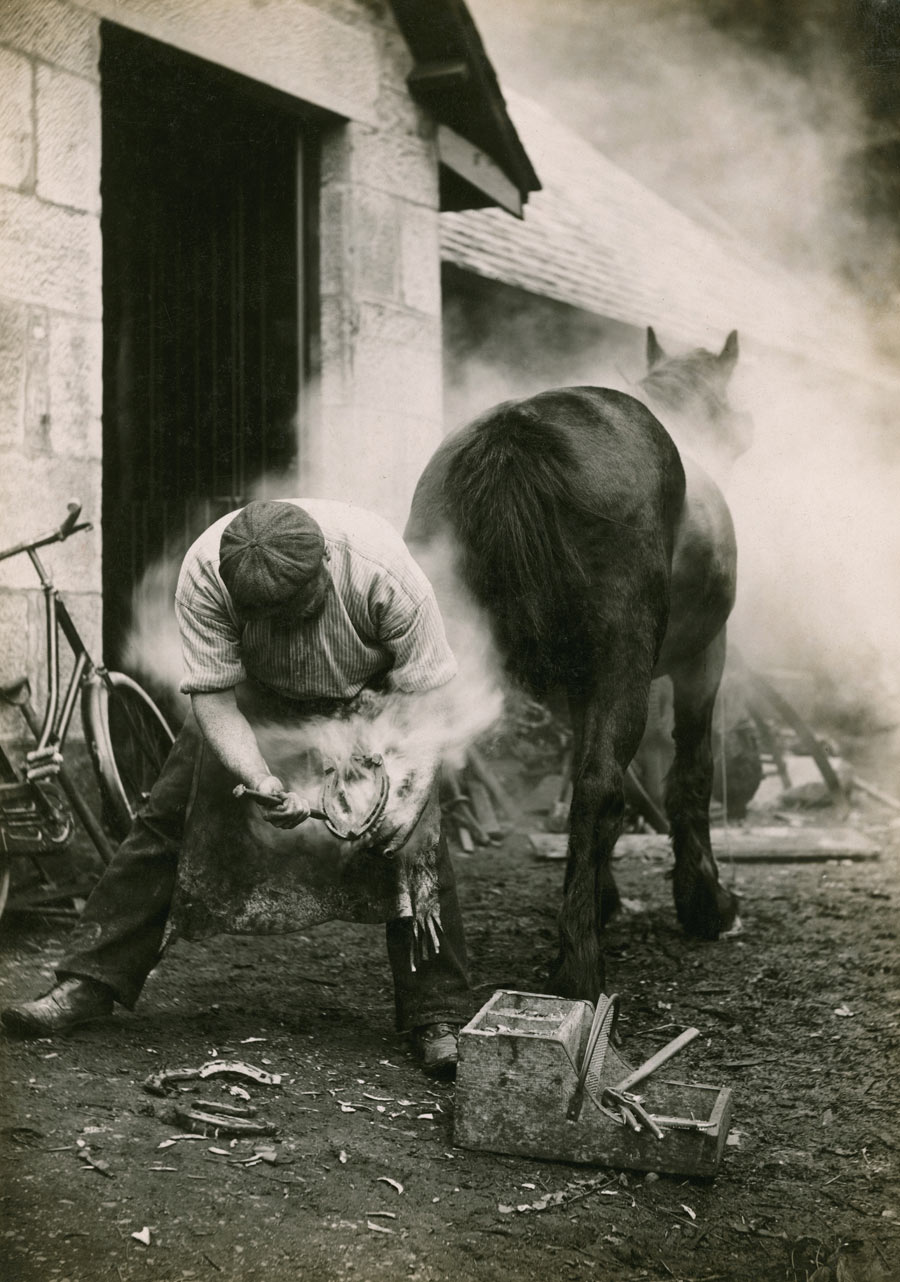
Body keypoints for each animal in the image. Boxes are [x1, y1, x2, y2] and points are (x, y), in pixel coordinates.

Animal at [410, 330, 748, 999]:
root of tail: (518, 431)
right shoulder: (703, 658)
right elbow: (689, 773)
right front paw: (704, 902)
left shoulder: (577, 686)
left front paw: (602, 896)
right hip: (628, 659)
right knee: (601, 783)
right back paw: (578, 968)